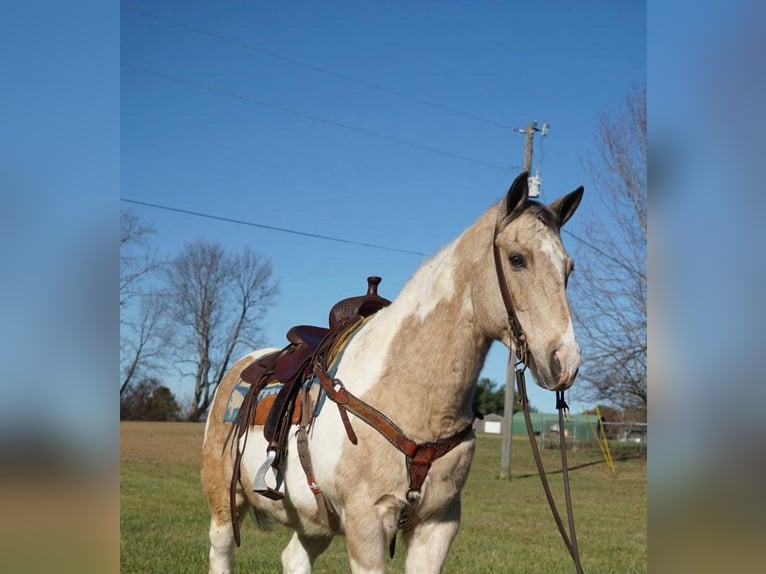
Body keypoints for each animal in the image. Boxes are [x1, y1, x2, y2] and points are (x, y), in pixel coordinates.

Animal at [201, 171, 584, 573]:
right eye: (516, 259)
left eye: (569, 267)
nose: (564, 360)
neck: (407, 392)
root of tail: (240, 367)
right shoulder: (366, 524)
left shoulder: (438, 524)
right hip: (223, 501)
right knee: (221, 551)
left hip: (314, 521)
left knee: (294, 558)